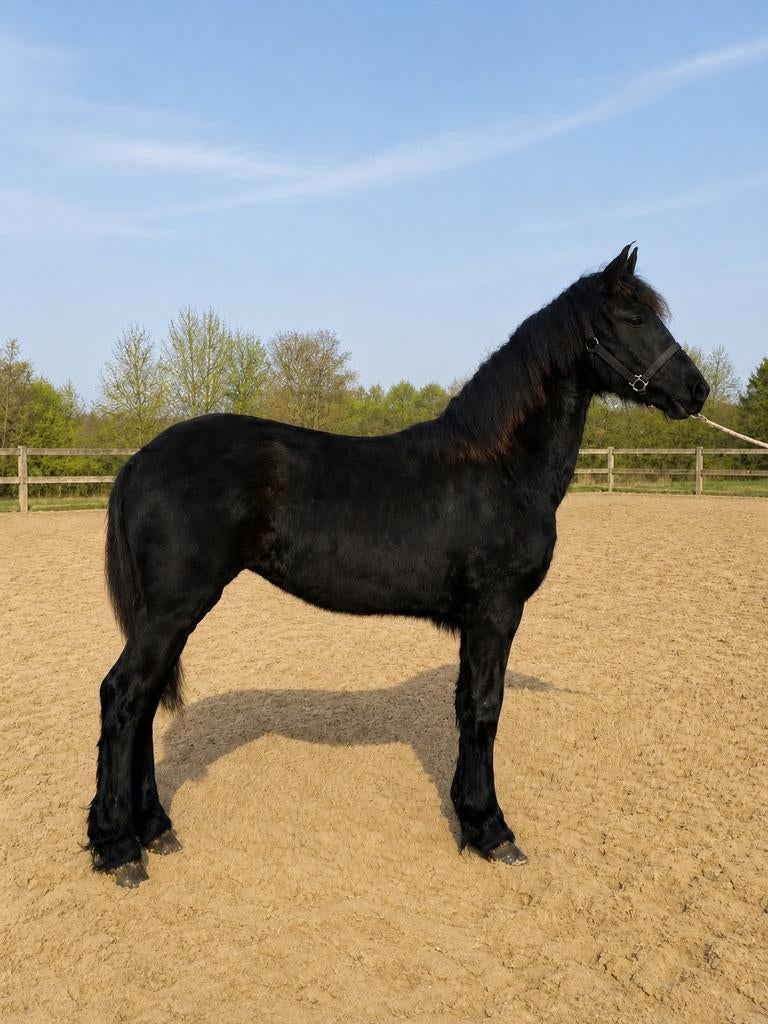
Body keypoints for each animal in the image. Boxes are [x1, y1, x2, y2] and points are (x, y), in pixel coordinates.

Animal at [87, 244, 710, 886]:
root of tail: (139, 461)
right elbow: (485, 709)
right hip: (175, 609)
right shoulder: (496, 612)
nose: (697, 390)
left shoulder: (477, 621)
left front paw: (469, 820)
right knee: (123, 696)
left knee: (142, 703)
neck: (502, 466)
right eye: (634, 318)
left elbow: (465, 706)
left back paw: (154, 828)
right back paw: (120, 847)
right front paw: (493, 831)